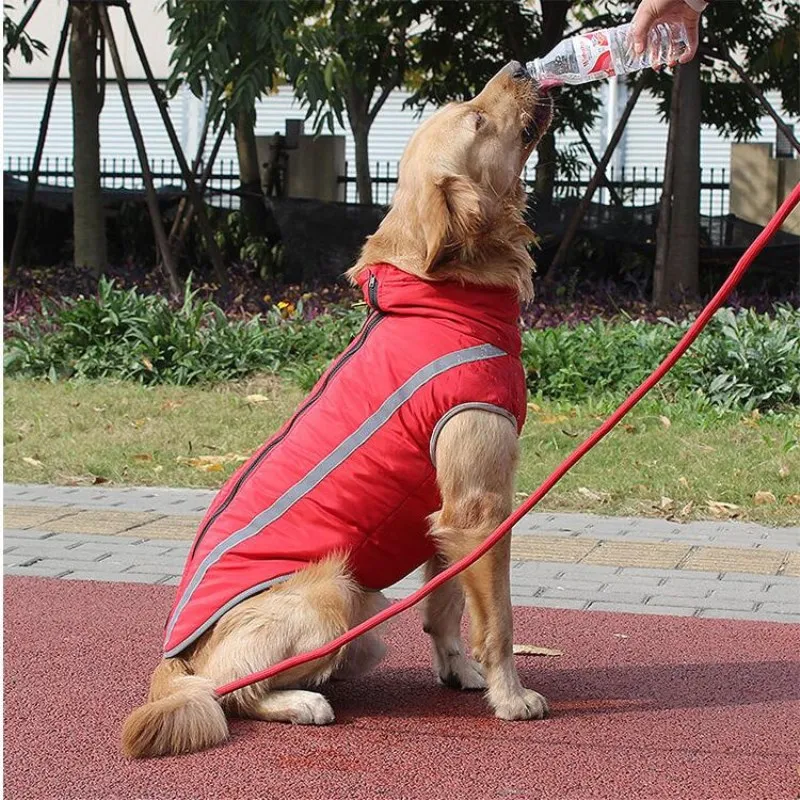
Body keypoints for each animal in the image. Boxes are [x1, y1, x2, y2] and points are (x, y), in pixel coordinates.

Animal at [123, 62, 552, 756]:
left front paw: (460, 673)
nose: (517, 67)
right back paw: (301, 702)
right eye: (477, 118)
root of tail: (175, 657)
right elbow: (500, 622)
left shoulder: (443, 515)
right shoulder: (481, 508)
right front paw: (510, 697)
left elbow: (446, 607)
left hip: (365, 622)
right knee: (228, 693)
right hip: (335, 593)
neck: (438, 300)